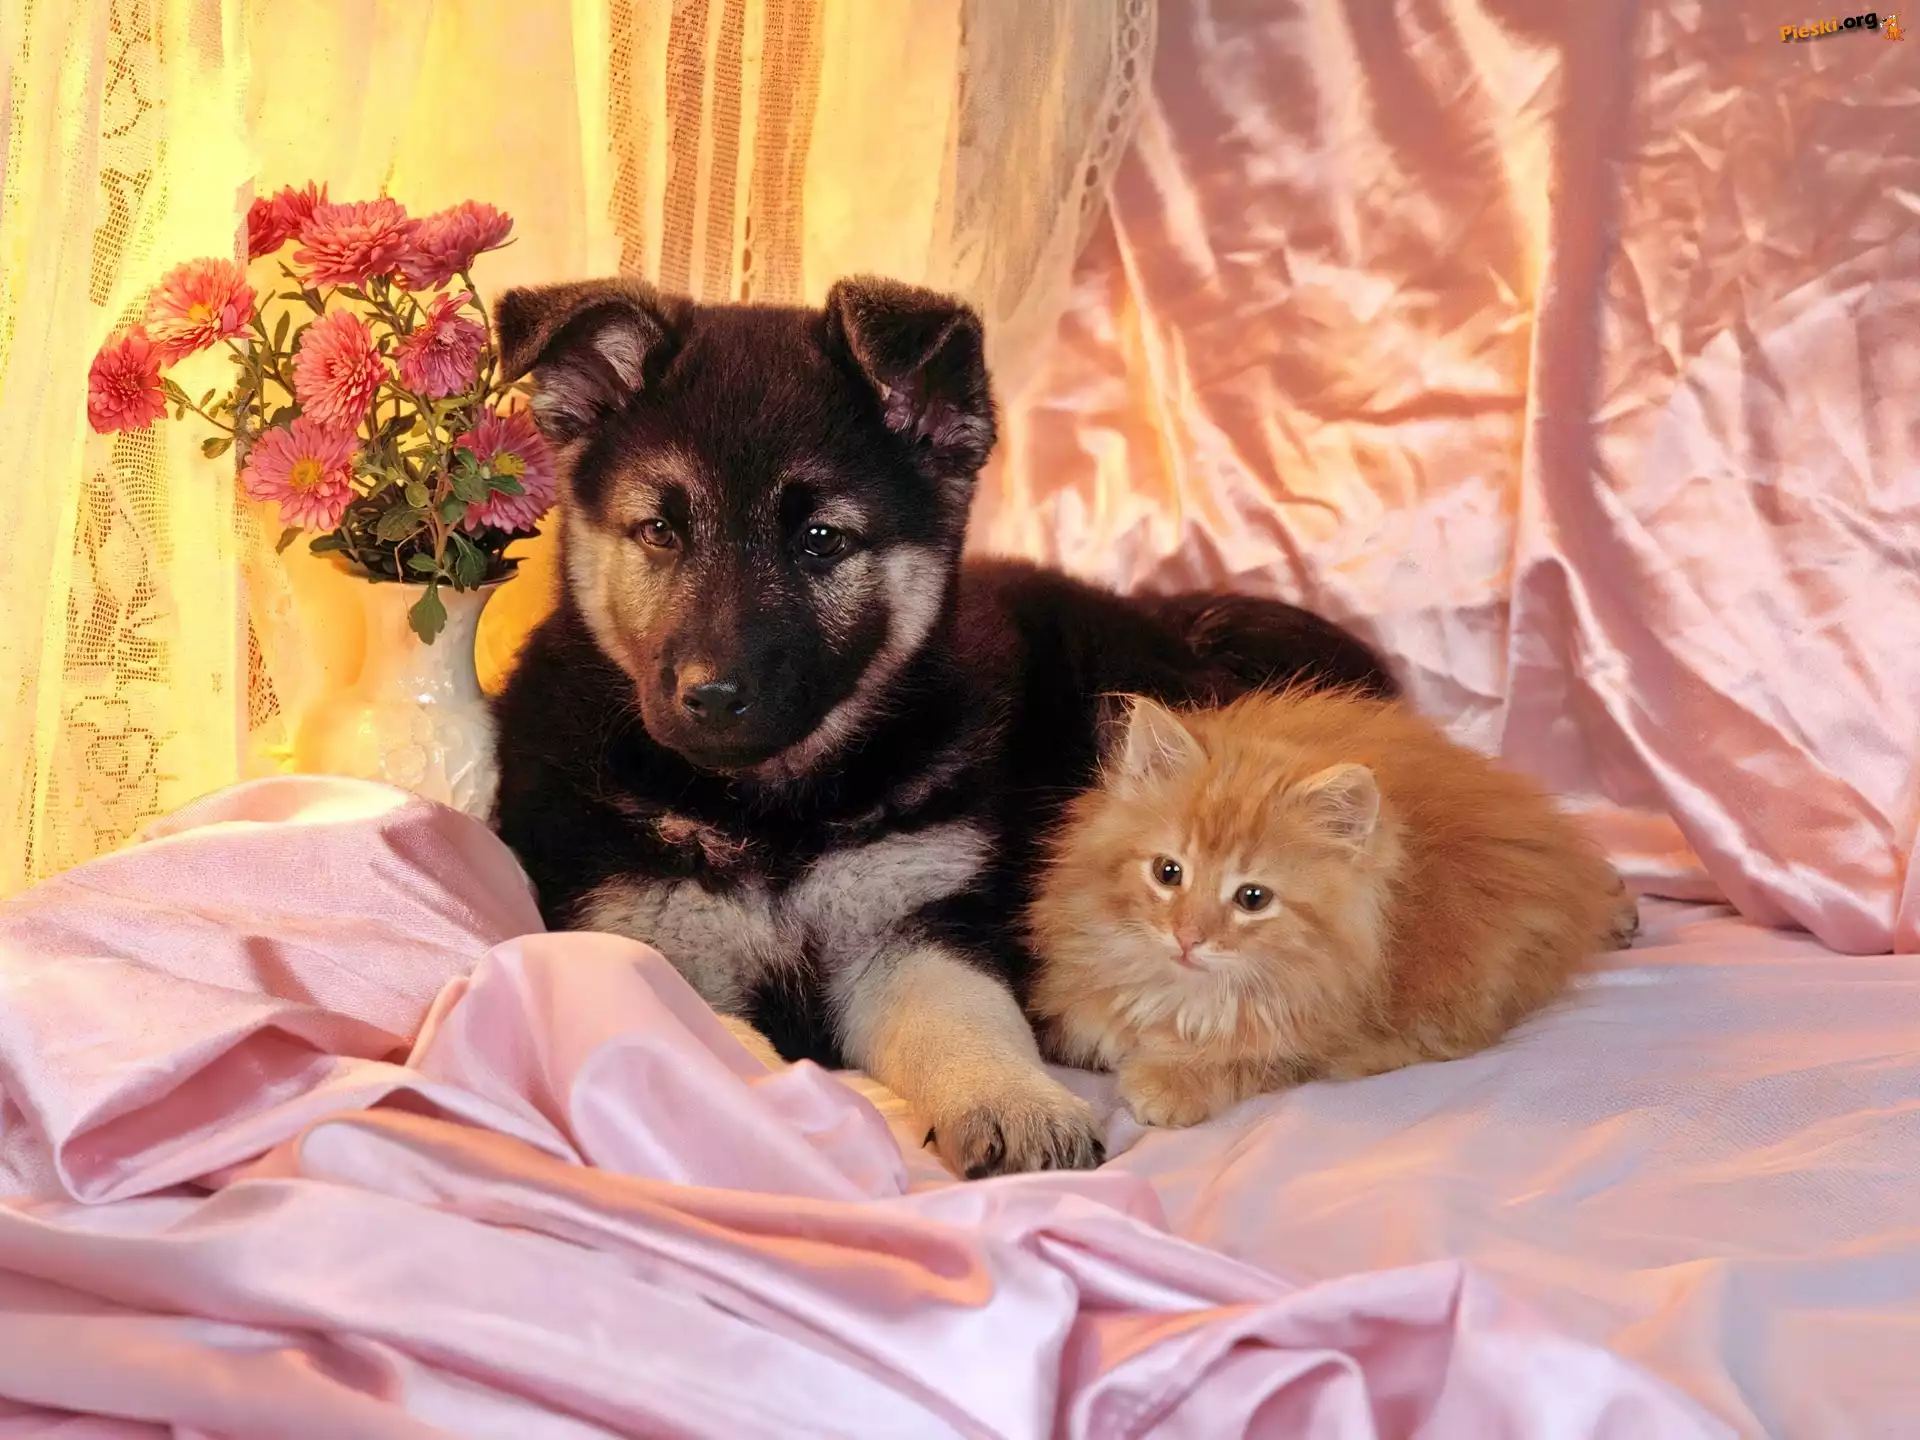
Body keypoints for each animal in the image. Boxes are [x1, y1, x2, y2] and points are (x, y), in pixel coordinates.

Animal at [488, 276, 1397, 1178]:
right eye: (659, 531)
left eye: (822, 540)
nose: (710, 696)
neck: (774, 808)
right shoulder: (648, 945)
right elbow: (711, 1043)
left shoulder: (914, 928)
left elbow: (964, 1019)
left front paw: (1016, 1101)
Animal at [1025, 686, 1639, 1129]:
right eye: (1167, 872)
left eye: (1252, 898)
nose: (1187, 937)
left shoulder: (1324, 1035)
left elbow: (1252, 1057)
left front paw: (1171, 1082)